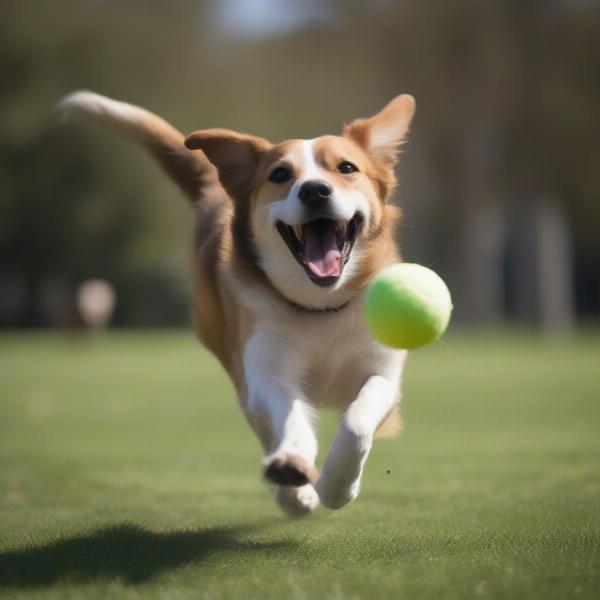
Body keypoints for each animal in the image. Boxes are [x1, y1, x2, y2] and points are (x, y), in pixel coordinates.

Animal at [61, 90, 418, 516]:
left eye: (347, 167)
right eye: (280, 175)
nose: (315, 190)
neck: (319, 307)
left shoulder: (383, 372)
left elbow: (357, 420)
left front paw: (336, 485)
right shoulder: (266, 370)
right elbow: (290, 417)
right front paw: (294, 467)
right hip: (236, 368)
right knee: (264, 426)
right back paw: (290, 491)